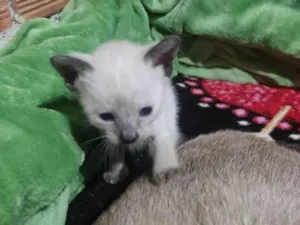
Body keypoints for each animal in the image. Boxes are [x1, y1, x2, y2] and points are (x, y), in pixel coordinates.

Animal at [49, 35, 180, 185]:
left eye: (146, 111)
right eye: (106, 117)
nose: (130, 138)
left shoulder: (159, 122)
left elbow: (162, 142)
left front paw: (165, 170)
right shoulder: (108, 135)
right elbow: (114, 151)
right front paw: (116, 172)